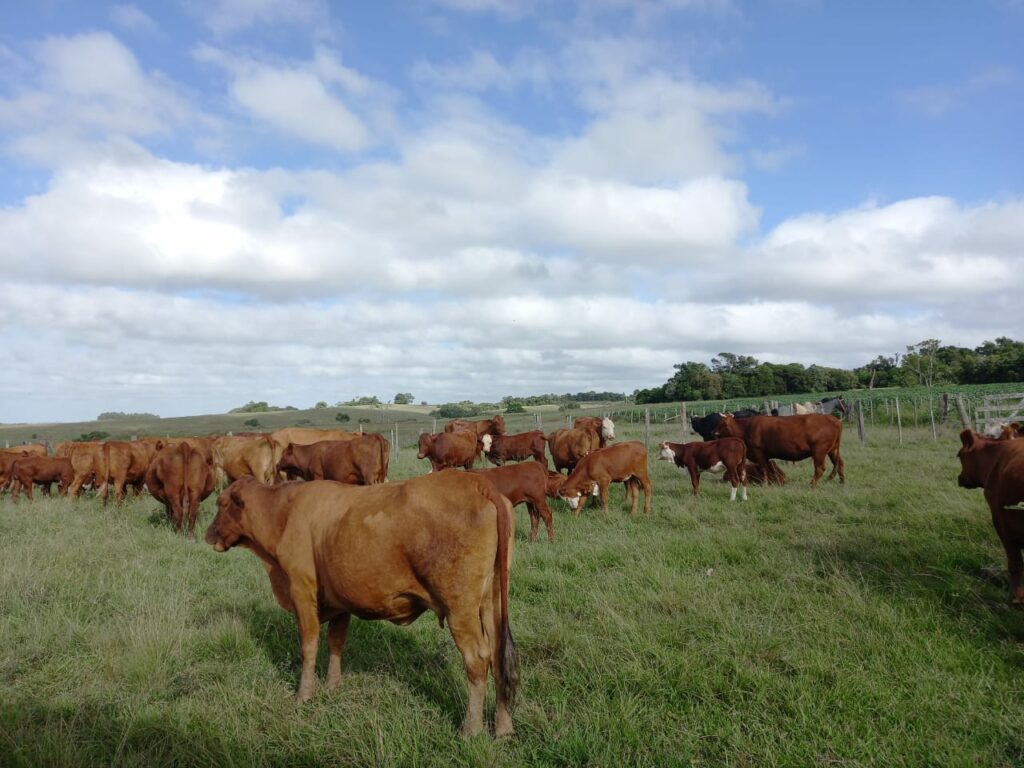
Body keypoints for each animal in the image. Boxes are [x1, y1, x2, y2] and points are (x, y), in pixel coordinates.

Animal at [205, 473, 520, 741]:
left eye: (221, 504)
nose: (208, 534)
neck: (284, 512)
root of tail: (476, 481)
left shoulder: (301, 590)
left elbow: (309, 646)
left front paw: (304, 695)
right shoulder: (339, 601)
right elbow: (335, 642)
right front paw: (332, 687)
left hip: (460, 610)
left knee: (477, 659)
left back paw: (471, 728)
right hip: (491, 602)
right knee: (498, 656)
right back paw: (503, 728)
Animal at [708, 415, 843, 487]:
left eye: (720, 423)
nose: (712, 432)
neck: (747, 429)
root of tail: (835, 420)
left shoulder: (759, 452)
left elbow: (763, 468)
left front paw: (765, 484)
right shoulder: (767, 456)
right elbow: (771, 469)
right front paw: (777, 481)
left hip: (819, 451)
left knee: (820, 469)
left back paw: (812, 485)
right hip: (833, 450)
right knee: (840, 464)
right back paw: (841, 482)